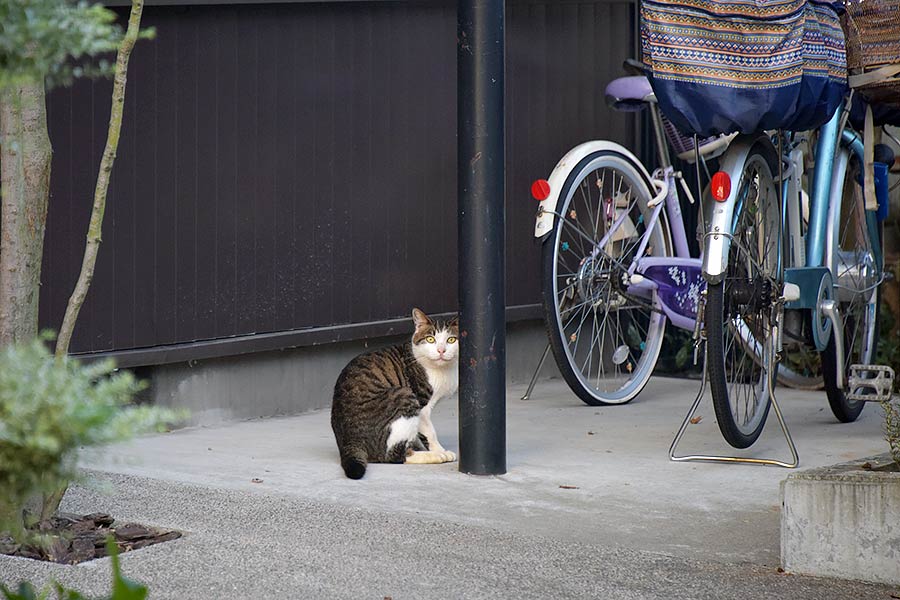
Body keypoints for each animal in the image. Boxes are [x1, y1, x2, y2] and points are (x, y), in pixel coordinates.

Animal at [328, 310, 458, 478]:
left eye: (451, 340)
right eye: (430, 339)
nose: (441, 351)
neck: (444, 369)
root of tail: (348, 442)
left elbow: (417, 434)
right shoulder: (421, 405)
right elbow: (429, 431)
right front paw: (439, 450)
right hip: (404, 394)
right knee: (393, 456)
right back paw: (433, 456)